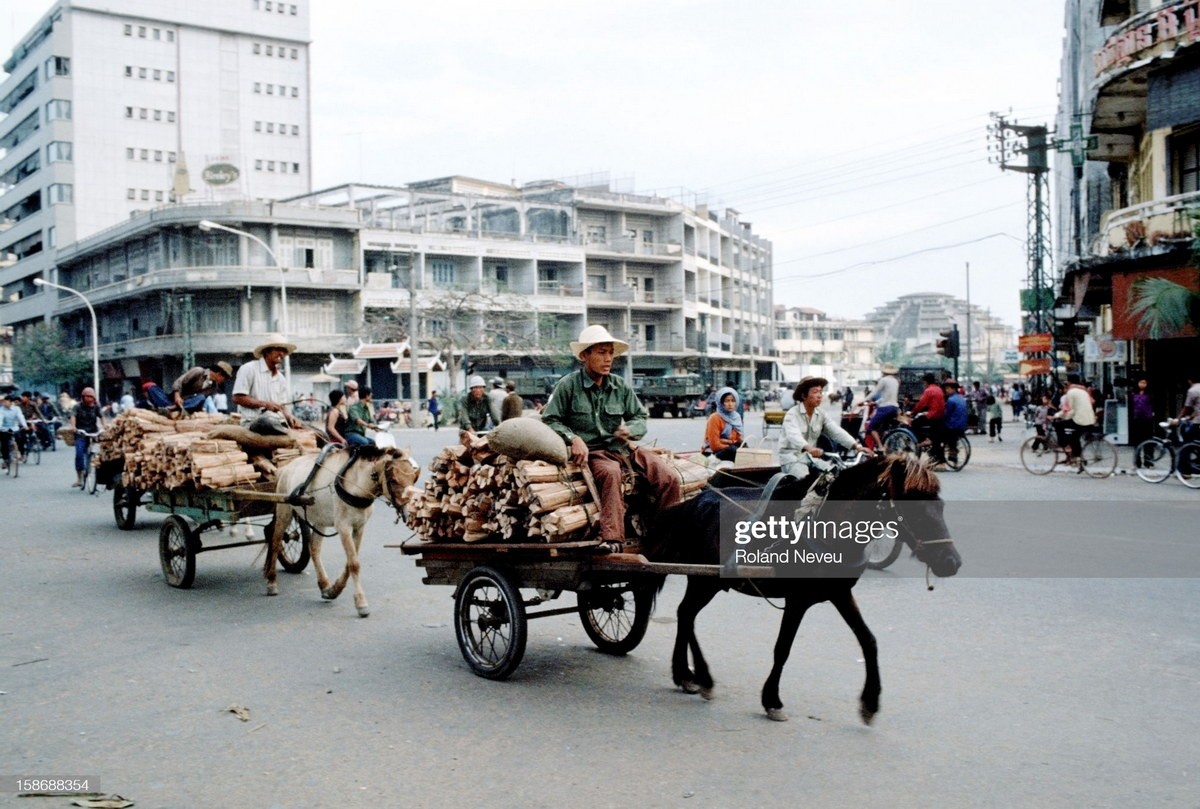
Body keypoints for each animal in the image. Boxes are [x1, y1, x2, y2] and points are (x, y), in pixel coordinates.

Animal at [266, 444, 422, 614]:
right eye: (393, 480)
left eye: (414, 478)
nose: (410, 511)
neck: (354, 483)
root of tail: (287, 467)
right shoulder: (344, 527)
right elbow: (354, 563)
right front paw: (361, 602)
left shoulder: (359, 527)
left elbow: (350, 562)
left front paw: (335, 590)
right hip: (284, 509)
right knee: (275, 541)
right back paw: (271, 582)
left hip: (320, 519)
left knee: (314, 548)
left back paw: (325, 586)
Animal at [643, 456, 960, 720]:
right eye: (915, 510)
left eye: (941, 507)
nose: (952, 562)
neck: (824, 526)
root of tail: (697, 500)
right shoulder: (797, 599)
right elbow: (782, 648)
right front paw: (772, 700)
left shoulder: (839, 593)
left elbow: (868, 640)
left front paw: (870, 702)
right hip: (705, 580)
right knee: (687, 614)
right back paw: (703, 677)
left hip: (706, 579)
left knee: (685, 615)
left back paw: (685, 674)